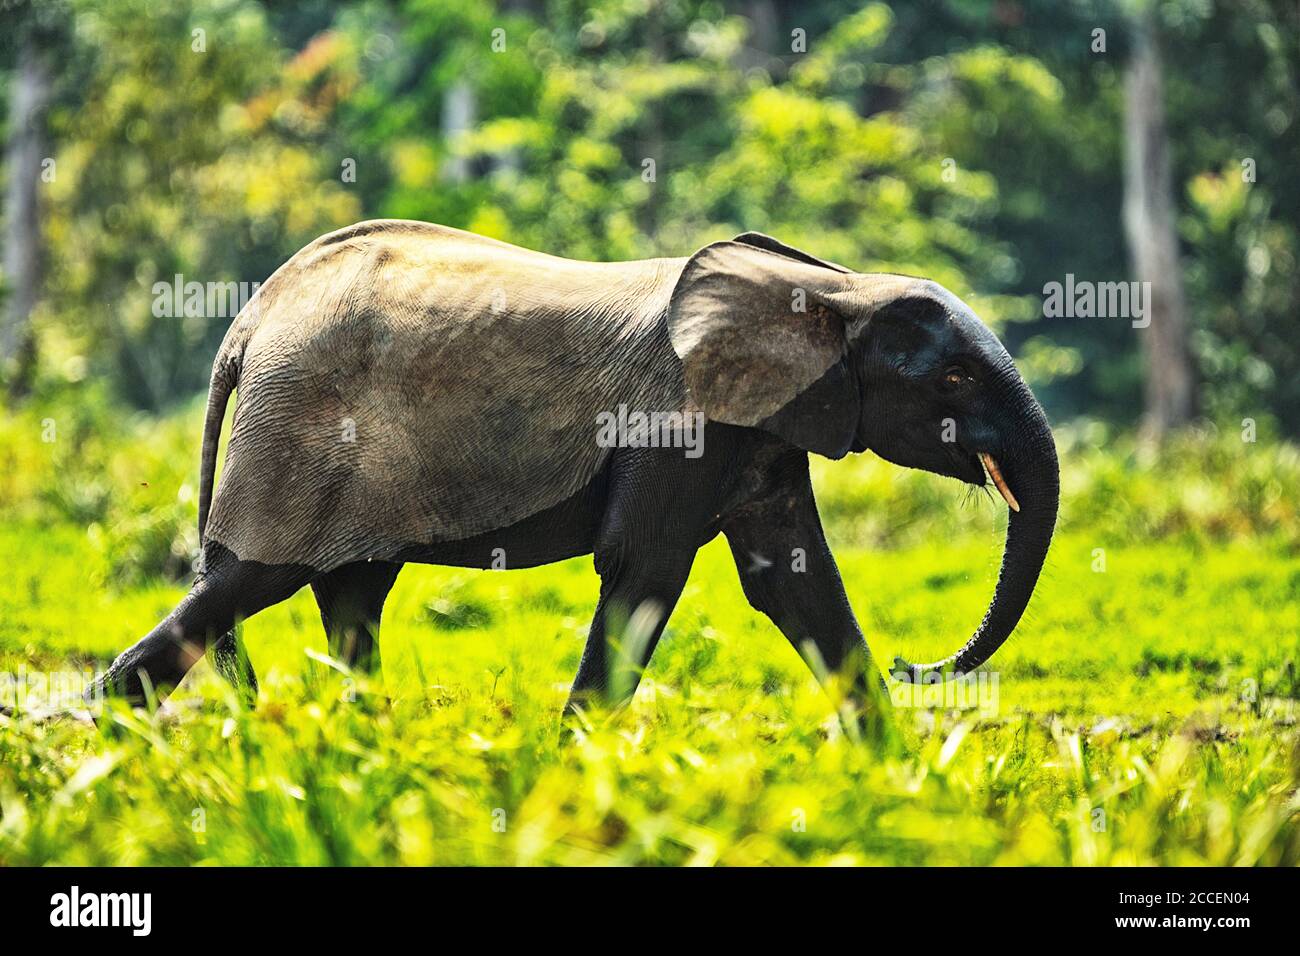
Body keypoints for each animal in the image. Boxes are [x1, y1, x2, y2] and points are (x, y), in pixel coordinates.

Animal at [83, 218, 1055, 723]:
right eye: (954, 379)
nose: (913, 665)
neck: (836, 286)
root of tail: (250, 321)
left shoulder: (757, 431)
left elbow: (796, 582)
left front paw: (891, 775)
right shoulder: (676, 421)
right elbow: (645, 571)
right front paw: (574, 765)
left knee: (350, 596)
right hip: (300, 431)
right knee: (245, 586)